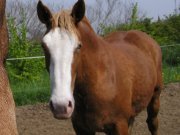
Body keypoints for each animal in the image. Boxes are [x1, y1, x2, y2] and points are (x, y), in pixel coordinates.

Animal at [37, 0, 162, 134]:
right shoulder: (82, 128)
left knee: (153, 123)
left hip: (155, 98)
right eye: (44, 46)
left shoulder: (119, 125)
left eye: (79, 46)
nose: (60, 106)